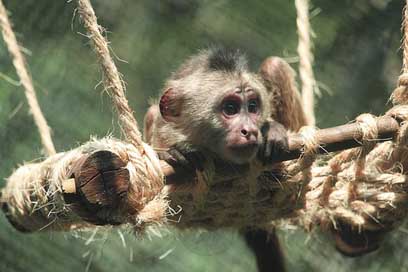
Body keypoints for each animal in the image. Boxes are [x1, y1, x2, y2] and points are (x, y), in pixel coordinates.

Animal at [144, 48, 382, 272]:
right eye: (230, 108)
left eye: (252, 107)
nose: (250, 130)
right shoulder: (164, 129)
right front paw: (170, 153)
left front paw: (272, 130)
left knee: (273, 65)